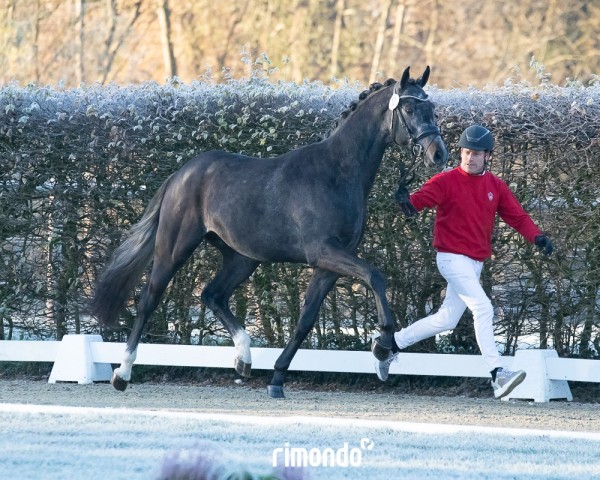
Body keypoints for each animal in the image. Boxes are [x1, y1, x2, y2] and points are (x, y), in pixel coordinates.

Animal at [89, 66, 446, 398]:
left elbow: (305, 321)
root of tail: (181, 174)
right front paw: (383, 347)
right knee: (149, 300)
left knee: (212, 295)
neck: (337, 172)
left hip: (242, 259)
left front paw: (277, 379)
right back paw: (122, 374)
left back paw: (244, 360)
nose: (438, 154)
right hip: (174, 249)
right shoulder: (324, 252)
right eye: (409, 109)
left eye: (431, 107)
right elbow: (376, 277)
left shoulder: (329, 265)